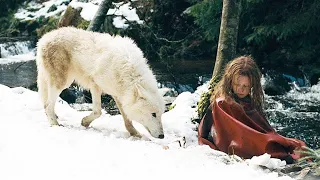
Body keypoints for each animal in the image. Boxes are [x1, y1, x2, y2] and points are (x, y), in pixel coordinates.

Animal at [36, 26, 165, 139]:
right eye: (153, 114)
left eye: (161, 114)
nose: (162, 136)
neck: (127, 73)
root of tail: (44, 37)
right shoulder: (95, 86)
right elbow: (98, 112)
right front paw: (84, 122)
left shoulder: (119, 94)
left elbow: (127, 119)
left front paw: (135, 134)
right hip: (63, 83)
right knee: (47, 105)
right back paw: (54, 124)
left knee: (46, 103)